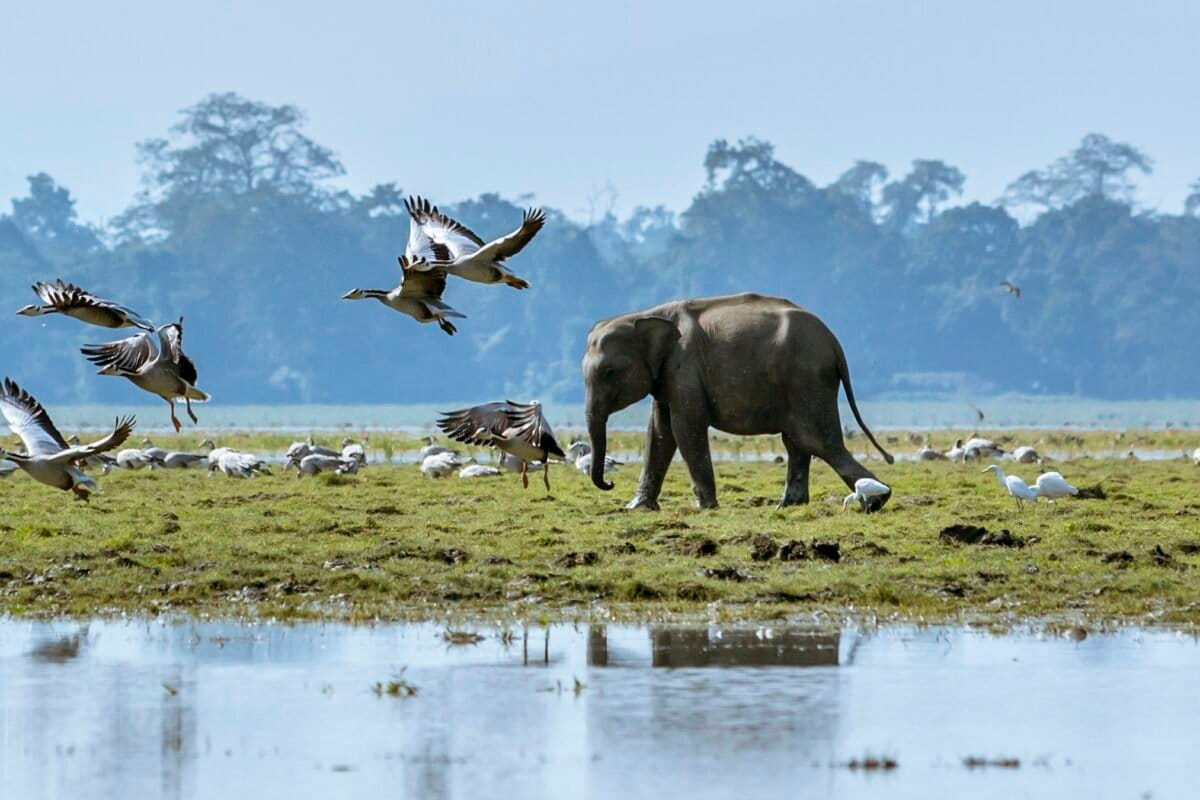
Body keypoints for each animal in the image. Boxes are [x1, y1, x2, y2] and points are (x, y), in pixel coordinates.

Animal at [581, 293, 894, 511]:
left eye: (609, 372)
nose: (609, 482)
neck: (646, 315)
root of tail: (835, 344)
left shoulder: (684, 367)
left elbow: (685, 427)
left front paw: (704, 507)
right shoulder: (667, 376)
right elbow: (659, 431)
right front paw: (637, 507)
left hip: (807, 380)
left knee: (818, 441)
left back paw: (878, 500)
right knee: (797, 441)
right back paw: (788, 506)